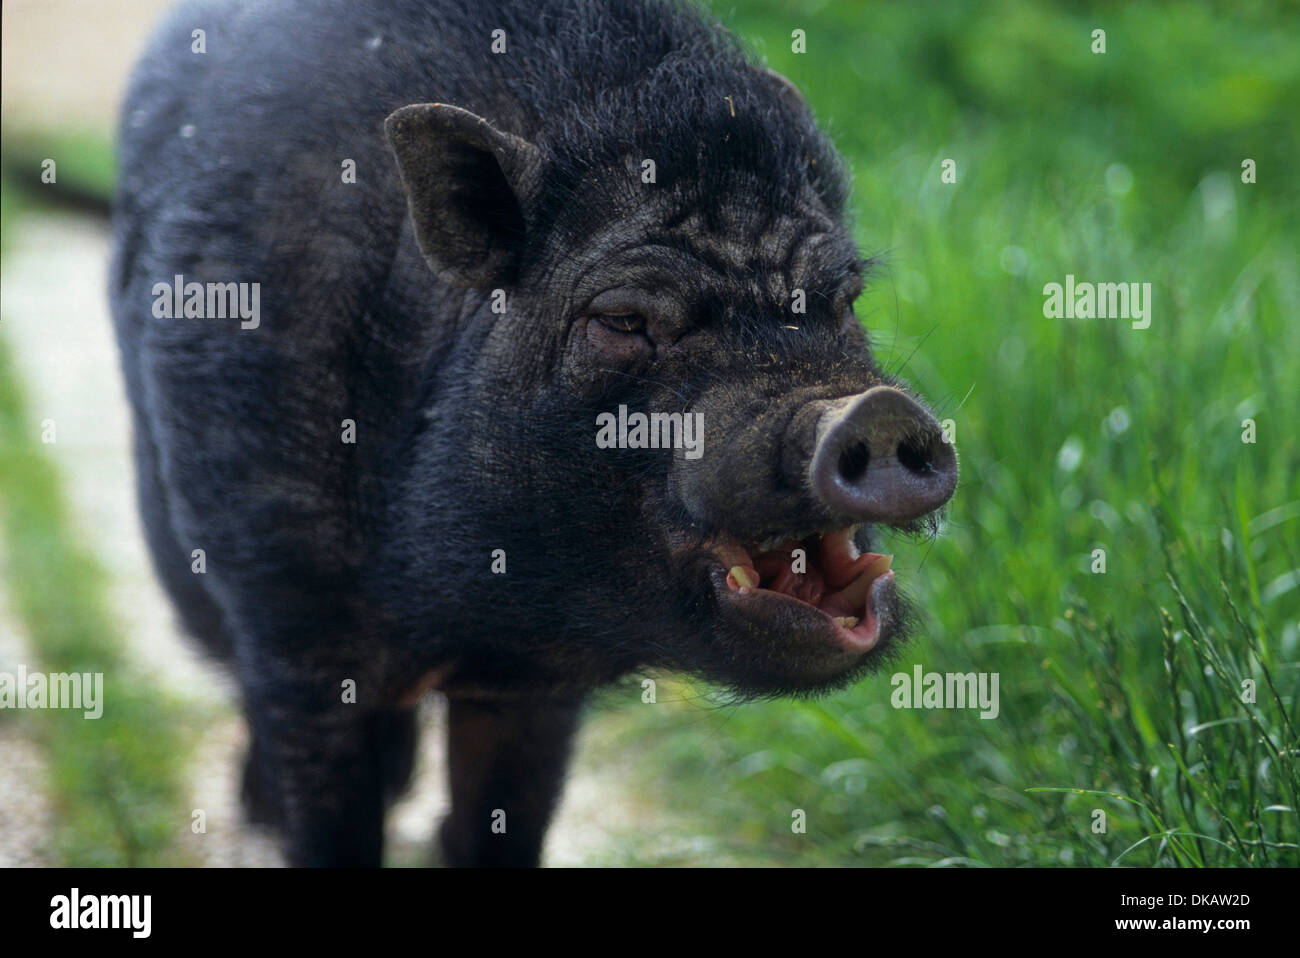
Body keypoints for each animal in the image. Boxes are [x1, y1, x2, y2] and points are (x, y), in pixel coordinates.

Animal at [109, 0, 958, 867]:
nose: (874, 413)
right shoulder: (290, 615)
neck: (458, 611)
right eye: (622, 320)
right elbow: (332, 816)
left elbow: (505, 821)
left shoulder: (537, 685)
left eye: (843, 298)